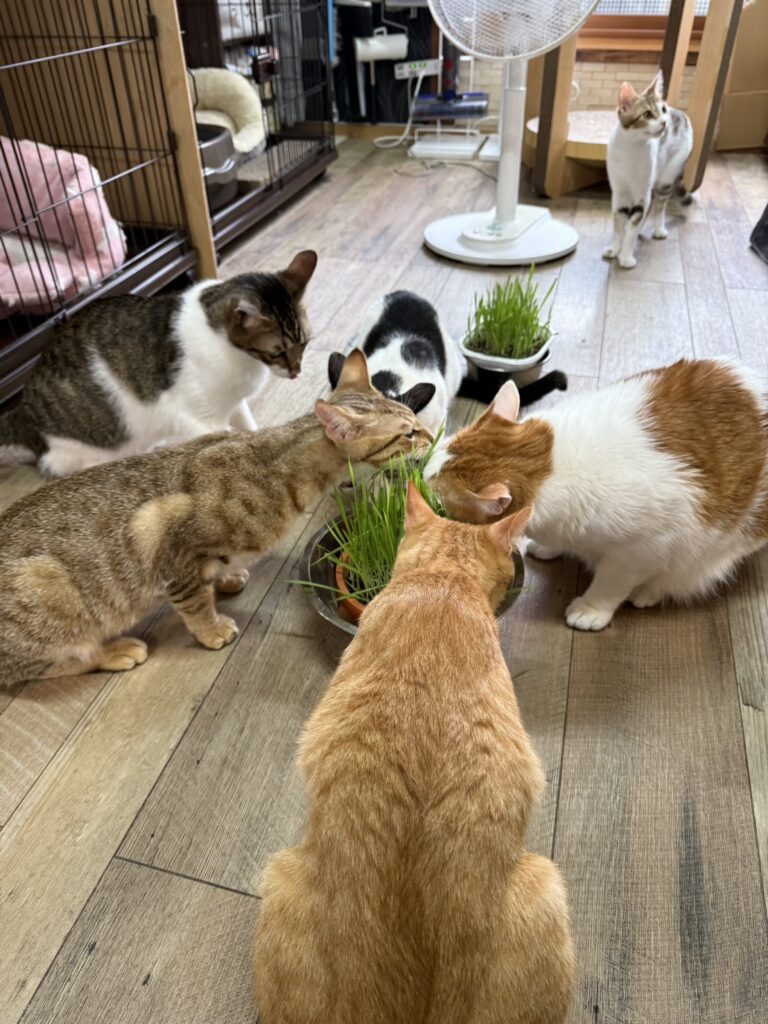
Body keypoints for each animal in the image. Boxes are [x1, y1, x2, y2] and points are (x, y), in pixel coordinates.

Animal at [0, 250, 318, 477]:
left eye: (304, 343)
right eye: (277, 352)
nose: (296, 372)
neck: (239, 356)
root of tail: (22, 413)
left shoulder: (233, 401)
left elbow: (248, 425)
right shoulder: (197, 417)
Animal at [0, 351, 433, 688]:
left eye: (415, 418)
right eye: (407, 433)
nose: (430, 436)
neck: (277, 466)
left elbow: (213, 576)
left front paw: (226, 576)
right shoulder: (173, 551)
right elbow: (194, 602)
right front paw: (212, 629)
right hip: (49, 592)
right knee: (43, 666)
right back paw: (114, 651)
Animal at [425, 359, 768, 632]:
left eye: (438, 501)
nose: (418, 480)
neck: (552, 464)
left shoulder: (642, 549)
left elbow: (610, 583)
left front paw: (591, 609)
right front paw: (549, 547)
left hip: (723, 543)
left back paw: (650, 592)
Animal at [604, 70, 693, 270]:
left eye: (663, 110)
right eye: (647, 114)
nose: (664, 122)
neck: (631, 148)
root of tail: (682, 114)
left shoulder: (641, 193)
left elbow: (633, 222)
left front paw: (626, 255)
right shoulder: (619, 193)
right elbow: (618, 224)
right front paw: (615, 248)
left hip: (666, 177)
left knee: (660, 205)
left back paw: (659, 228)